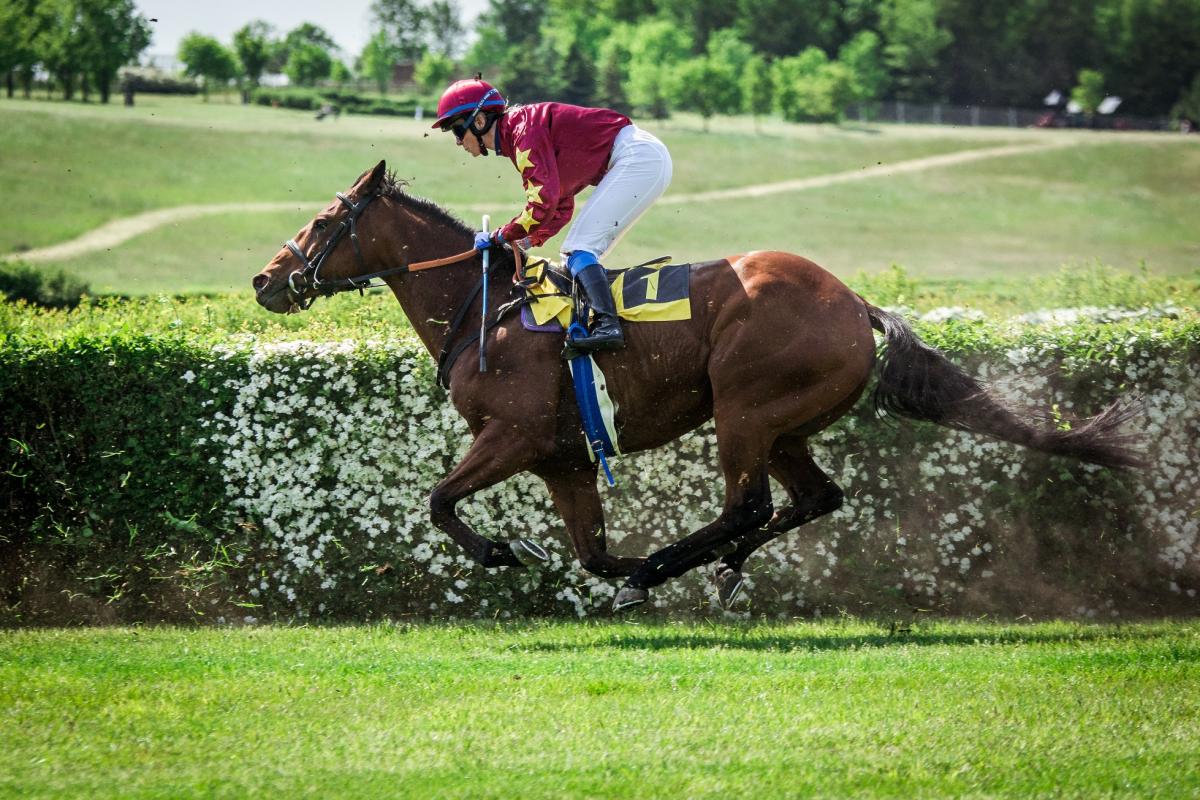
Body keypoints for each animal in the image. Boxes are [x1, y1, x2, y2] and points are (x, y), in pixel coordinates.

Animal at [251, 161, 1142, 612]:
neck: (487, 308)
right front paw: (603, 562)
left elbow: (440, 500)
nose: (265, 280)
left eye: (324, 222)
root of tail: (855, 302)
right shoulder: (563, 458)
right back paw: (710, 568)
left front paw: (509, 550)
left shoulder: (514, 434)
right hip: (783, 425)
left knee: (745, 505)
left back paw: (676, 568)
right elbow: (591, 550)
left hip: (746, 408)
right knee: (813, 497)